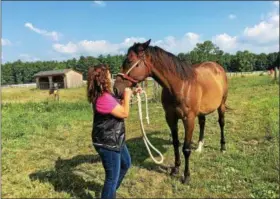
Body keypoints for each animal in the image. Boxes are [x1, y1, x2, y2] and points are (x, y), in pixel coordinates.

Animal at [112, 38, 229, 183]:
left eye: (129, 60)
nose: (116, 89)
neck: (180, 86)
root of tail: (217, 67)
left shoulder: (188, 119)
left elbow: (186, 148)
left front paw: (186, 176)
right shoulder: (170, 118)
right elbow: (175, 143)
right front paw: (176, 169)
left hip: (221, 105)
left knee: (221, 123)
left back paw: (223, 147)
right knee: (202, 123)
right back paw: (200, 147)